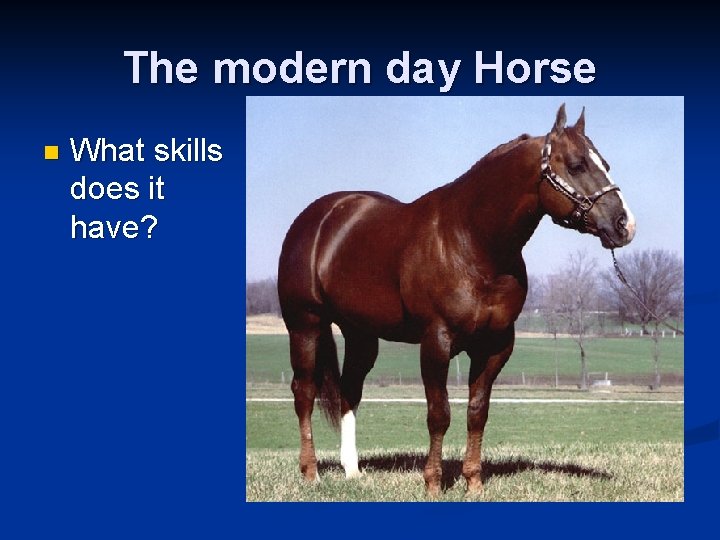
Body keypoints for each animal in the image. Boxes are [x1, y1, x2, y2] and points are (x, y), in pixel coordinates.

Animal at [277, 104, 636, 495]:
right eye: (576, 165)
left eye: (605, 164)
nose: (624, 224)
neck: (472, 241)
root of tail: (319, 217)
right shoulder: (437, 341)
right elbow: (439, 414)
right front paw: (433, 483)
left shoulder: (495, 345)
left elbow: (477, 413)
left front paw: (473, 482)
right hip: (305, 325)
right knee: (304, 392)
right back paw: (310, 472)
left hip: (361, 334)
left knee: (349, 390)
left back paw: (353, 471)